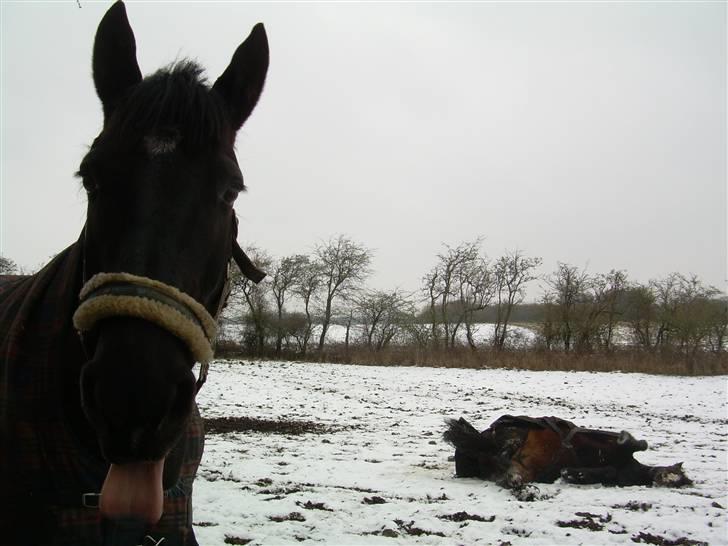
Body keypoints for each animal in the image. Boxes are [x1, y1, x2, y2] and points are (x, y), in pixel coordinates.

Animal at [444, 414, 688, 490]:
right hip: (515, 434)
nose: (676, 480)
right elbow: (638, 444)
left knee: (510, 473)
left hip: (521, 468)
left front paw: (572, 473)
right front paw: (629, 437)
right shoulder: (605, 441)